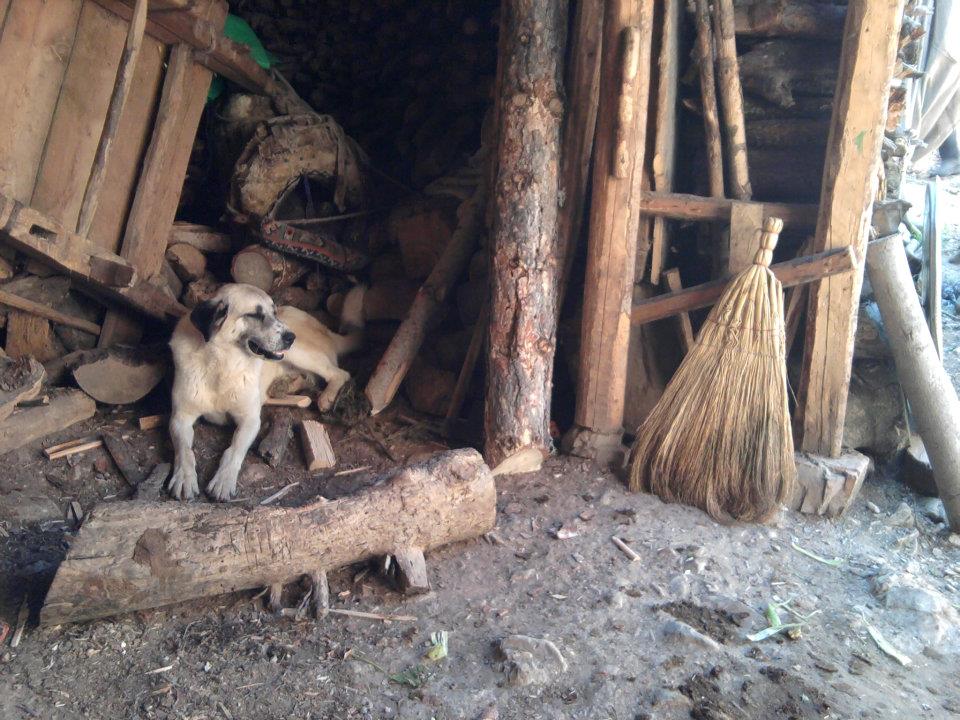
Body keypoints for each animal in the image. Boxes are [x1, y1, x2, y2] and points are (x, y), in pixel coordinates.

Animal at [167, 283, 364, 501]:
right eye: (254, 314)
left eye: (274, 312)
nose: (290, 337)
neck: (222, 365)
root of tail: (327, 330)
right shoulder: (180, 417)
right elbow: (185, 451)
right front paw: (184, 477)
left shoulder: (250, 419)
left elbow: (233, 450)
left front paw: (223, 480)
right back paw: (284, 386)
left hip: (299, 353)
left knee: (339, 373)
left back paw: (326, 398)